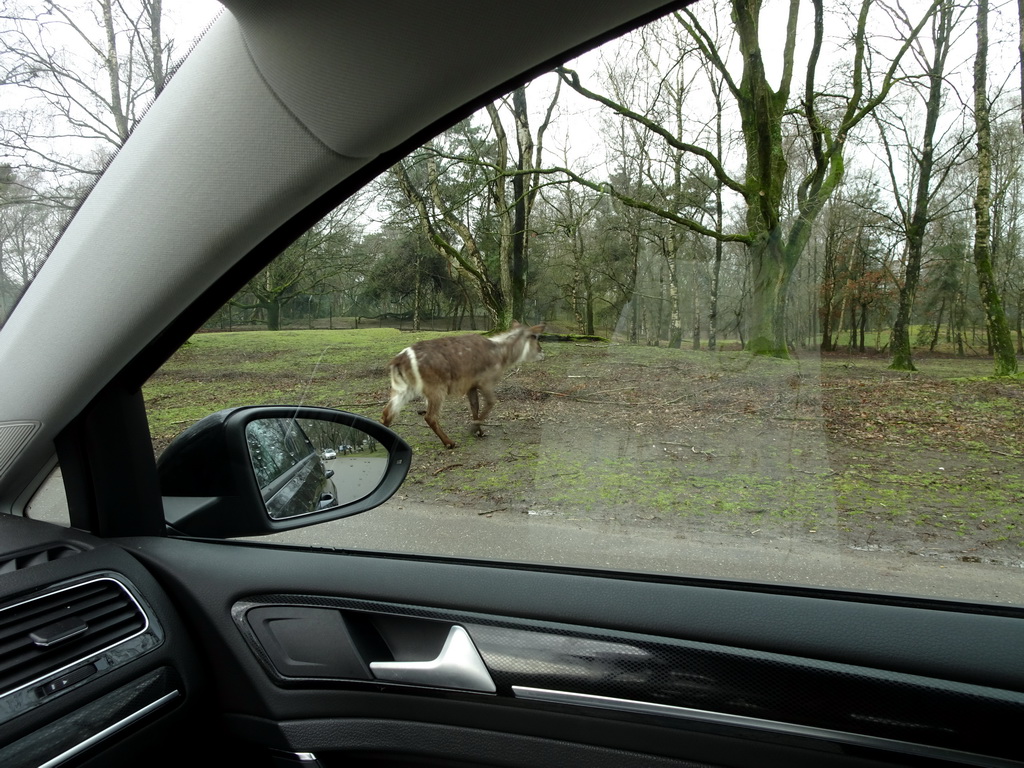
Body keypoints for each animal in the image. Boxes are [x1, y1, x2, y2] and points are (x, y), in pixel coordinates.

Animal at [382, 319, 544, 450]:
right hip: (435, 388)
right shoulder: (486, 381)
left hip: (403, 388)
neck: (502, 356)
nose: (542, 352)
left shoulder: (471, 385)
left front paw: (480, 432)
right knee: (429, 417)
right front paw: (473, 429)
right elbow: (491, 402)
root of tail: (398, 360)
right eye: (535, 337)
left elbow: (475, 406)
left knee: (387, 412)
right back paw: (450, 443)